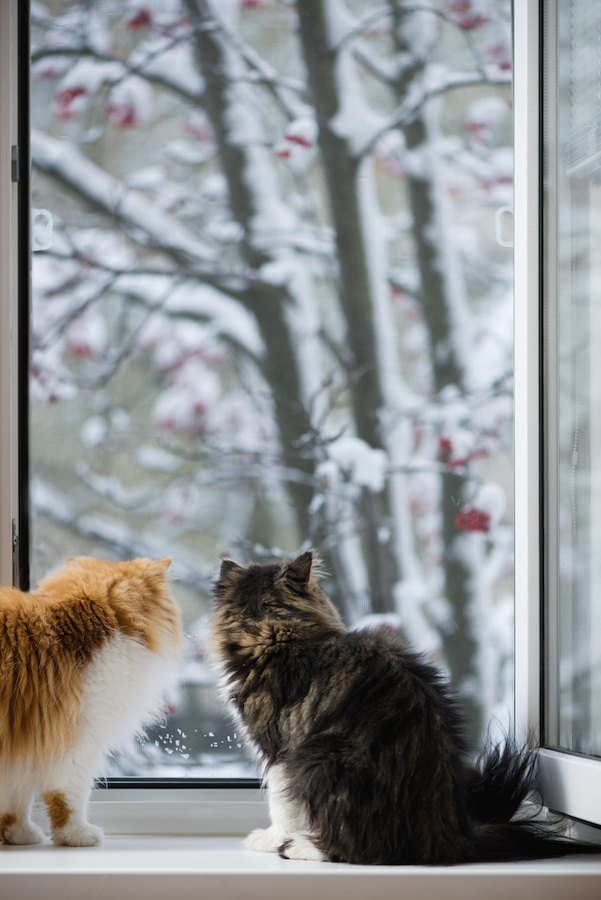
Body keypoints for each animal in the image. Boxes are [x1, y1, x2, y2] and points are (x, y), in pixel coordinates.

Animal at [0, 556, 180, 844]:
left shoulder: (25, 746)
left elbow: (15, 801)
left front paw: (20, 834)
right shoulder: (78, 743)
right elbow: (69, 797)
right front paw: (76, 835)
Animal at [213, 548, 596, 864]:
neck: (273, 629)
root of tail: (446, 834)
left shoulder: (279, 752)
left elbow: (280, 805)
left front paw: (268, 839)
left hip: (316, 761)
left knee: (356, 849)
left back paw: (299, 847)